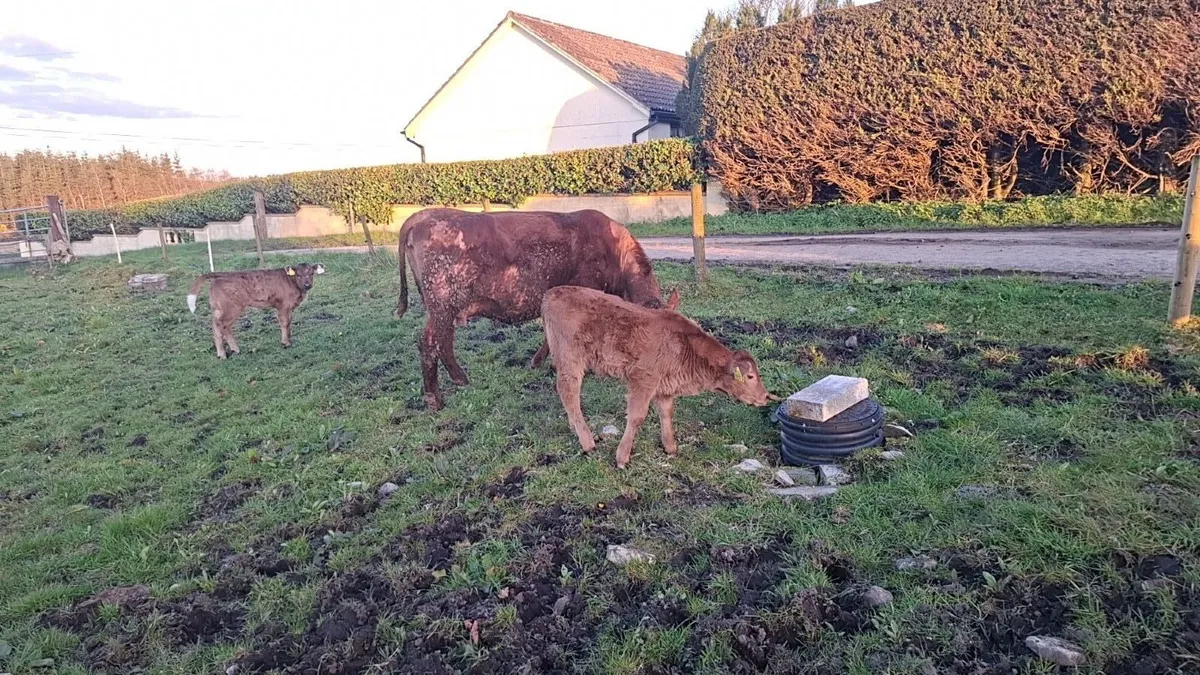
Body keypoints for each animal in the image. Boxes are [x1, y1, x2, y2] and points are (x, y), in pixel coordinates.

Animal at [187, 263, 326, 359]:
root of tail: (221, 275)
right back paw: (223, 354)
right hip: (232, 308)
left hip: (220, 309)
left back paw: (233, 350)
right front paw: (286, 343)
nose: (307, 285)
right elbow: (285, 323)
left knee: (221, 326)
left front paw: (289, 341)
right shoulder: (283, 306)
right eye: (298, 275)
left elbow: (289, 323)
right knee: (221, 325)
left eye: (311, 274)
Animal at [394, 208, 669, 410]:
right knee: (429, 341)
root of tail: (424, 214)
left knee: (444, 339)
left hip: (446, 308)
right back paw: (435, 399)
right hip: (441, 303)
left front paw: (539, 362)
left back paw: (460, 379)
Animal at [540, 285, 777, 469]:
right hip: (570, 359)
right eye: (750, 376)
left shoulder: (665, 386)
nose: (765, 397)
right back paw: (588, 442)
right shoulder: (643, 379)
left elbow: (666, 413)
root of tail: (552, 292)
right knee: (569, 392)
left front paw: (670, 447)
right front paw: (622, 458)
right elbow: (636, 417)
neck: (685, 346)